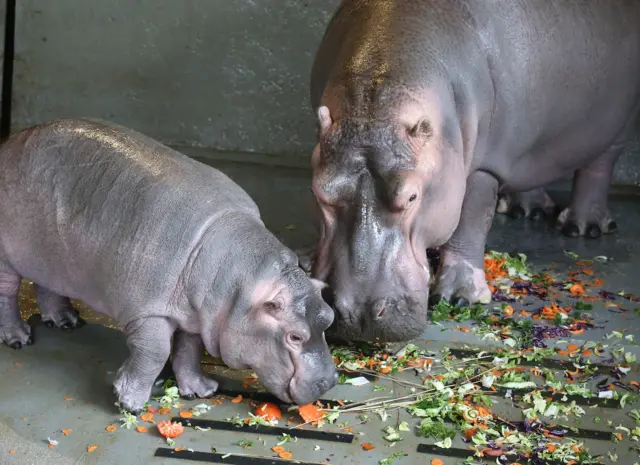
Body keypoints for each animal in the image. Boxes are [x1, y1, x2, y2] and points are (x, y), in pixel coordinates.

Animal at [0, 118, 338, 412]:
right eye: (295, 337)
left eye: (329, 316)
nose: (330, 381)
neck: (240, 281)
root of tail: (10, 142)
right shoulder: (148, 311)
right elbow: (155, 351)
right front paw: (129, 403)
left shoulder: (198, 315)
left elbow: (189, 350)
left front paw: (201, 390)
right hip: (8, 259)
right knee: (7, 294)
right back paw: (18, 339)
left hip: (50, 256)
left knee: (47, 284)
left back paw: (66, 322)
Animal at [308, 0, 636, 340]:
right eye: (319, 190)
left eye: (412, 197)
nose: (358, 314)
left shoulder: (484, 167)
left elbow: (471, 221)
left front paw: (458, 297)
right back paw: (525, 209)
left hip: (617, 125)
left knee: (598, 167)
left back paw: (582, 226)